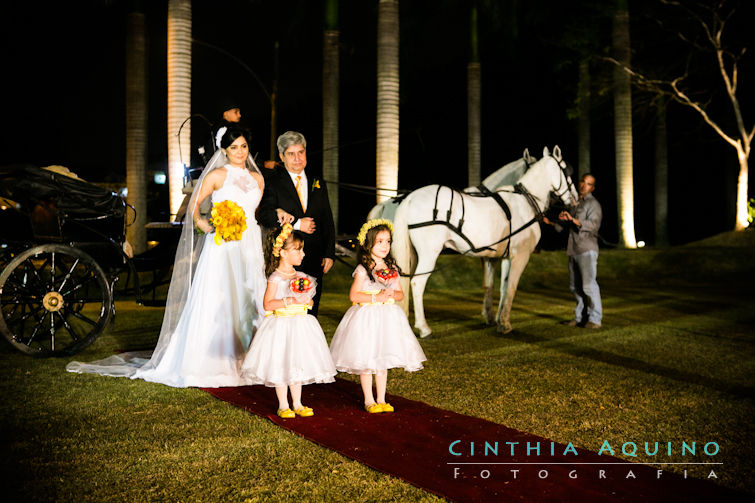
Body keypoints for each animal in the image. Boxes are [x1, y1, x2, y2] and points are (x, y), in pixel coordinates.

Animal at [392, 147, 576, 338]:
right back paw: (424, 328)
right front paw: (504, 324)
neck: (525, 201)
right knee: (417, 283)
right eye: (567, 171)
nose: (575, 199)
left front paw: (498, 320)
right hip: (429, 253)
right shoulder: (520, 256)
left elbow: (502, 287)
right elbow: (511, 288)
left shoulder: (504, 257)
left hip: (413, 253)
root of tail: (410, 198)